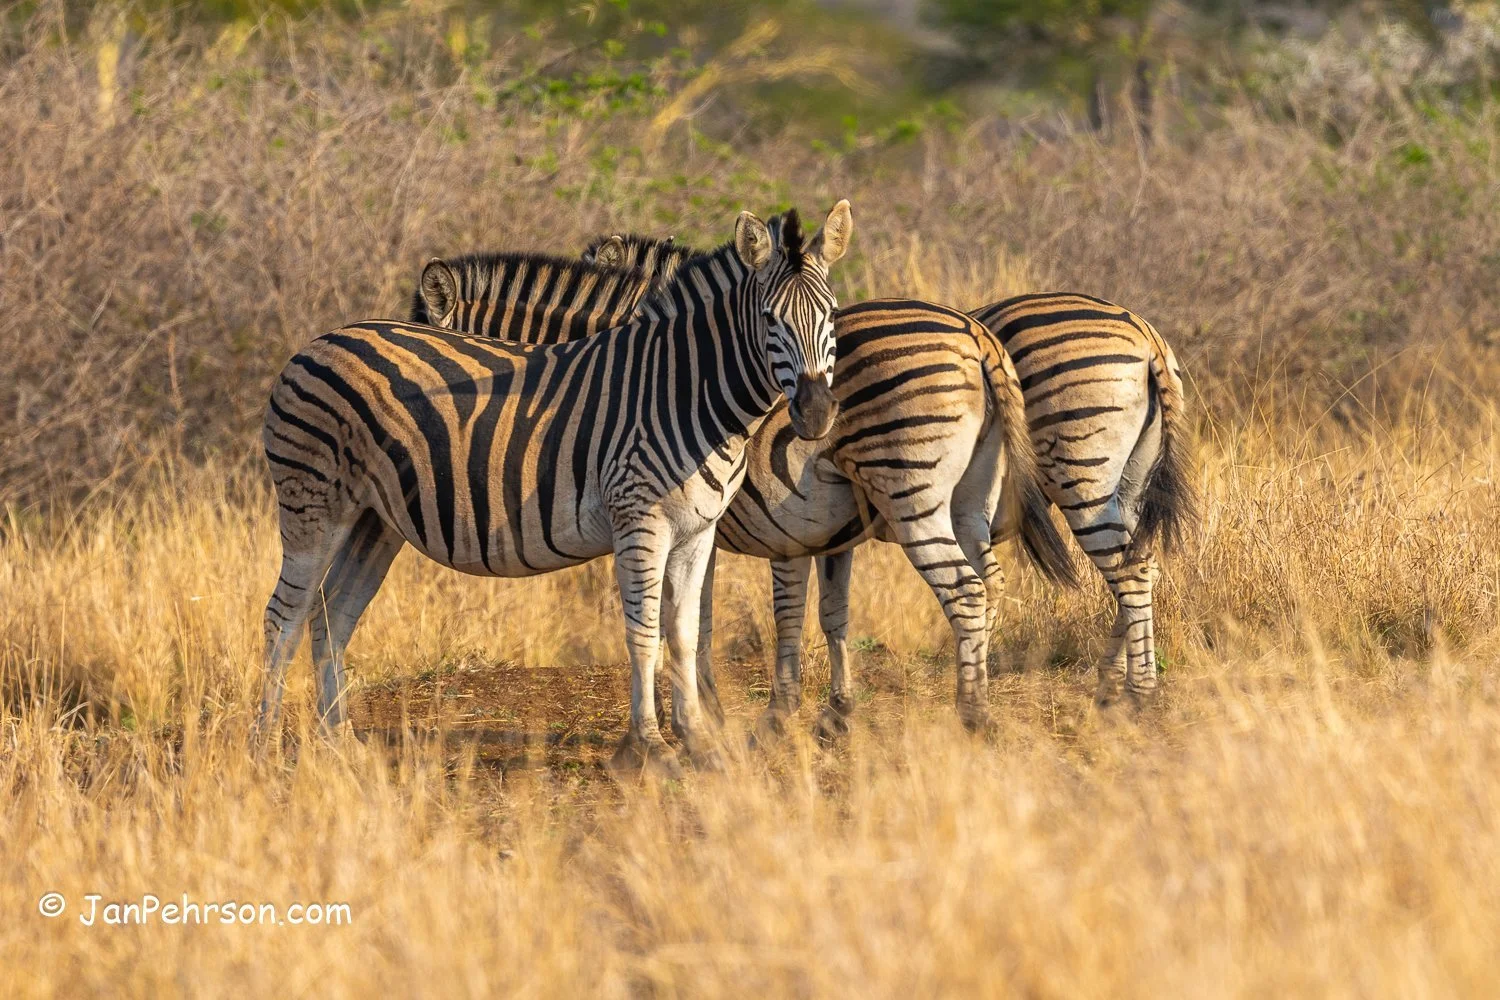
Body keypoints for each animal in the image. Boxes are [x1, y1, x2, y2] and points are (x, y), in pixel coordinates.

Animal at [255, 202, 852, 773]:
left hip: (374, 521)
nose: (816, 413)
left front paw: (701, 741)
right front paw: (649, 745)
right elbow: (645, 633)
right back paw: (267, 750)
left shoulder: (697, 532)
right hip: (314, 505)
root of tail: (319, 340)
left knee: (331, 616)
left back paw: (340, 745)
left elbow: (681, 635)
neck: (685, 390)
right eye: (770, 320)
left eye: (830, 315)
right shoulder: (638, 522)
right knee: (284, 617)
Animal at [419, 242, 1077, 737]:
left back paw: (971, 715)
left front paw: (702, 716)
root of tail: (974, 331)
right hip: (970, 500)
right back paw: (980, 697)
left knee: (965, 590)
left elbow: (687, 620)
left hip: (911, 488)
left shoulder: (693, 518)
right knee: (989, 585)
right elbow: (713, 618)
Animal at [587, 235, 1196, 720]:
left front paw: (711, 710)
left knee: (1123, 573)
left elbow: (701, 616)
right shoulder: (806, 530)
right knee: (1139, 567)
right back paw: (1112, 688)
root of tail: (1145, 332)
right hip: (1124, 484)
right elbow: (816, 613)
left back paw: (1129, 695)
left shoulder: (738, 522)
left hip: (1077, 476)